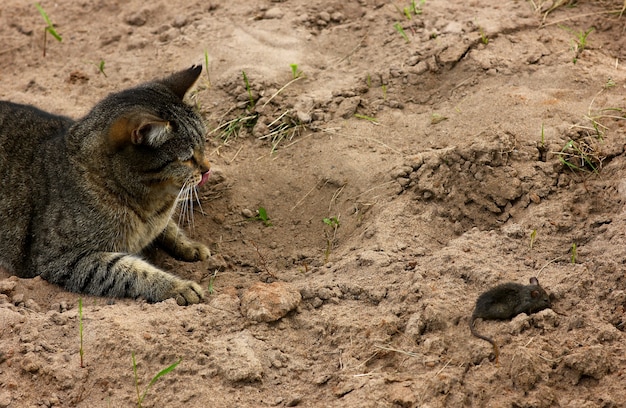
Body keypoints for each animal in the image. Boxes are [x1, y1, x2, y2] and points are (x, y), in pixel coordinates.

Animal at [0, 64, 211, 306]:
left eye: (204, 144)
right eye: (187, 158)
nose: (208, 169)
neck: (150, 204)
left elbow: (170, 227)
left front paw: (190, 246)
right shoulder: (62, 259)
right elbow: (132, 271)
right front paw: (177, 286)